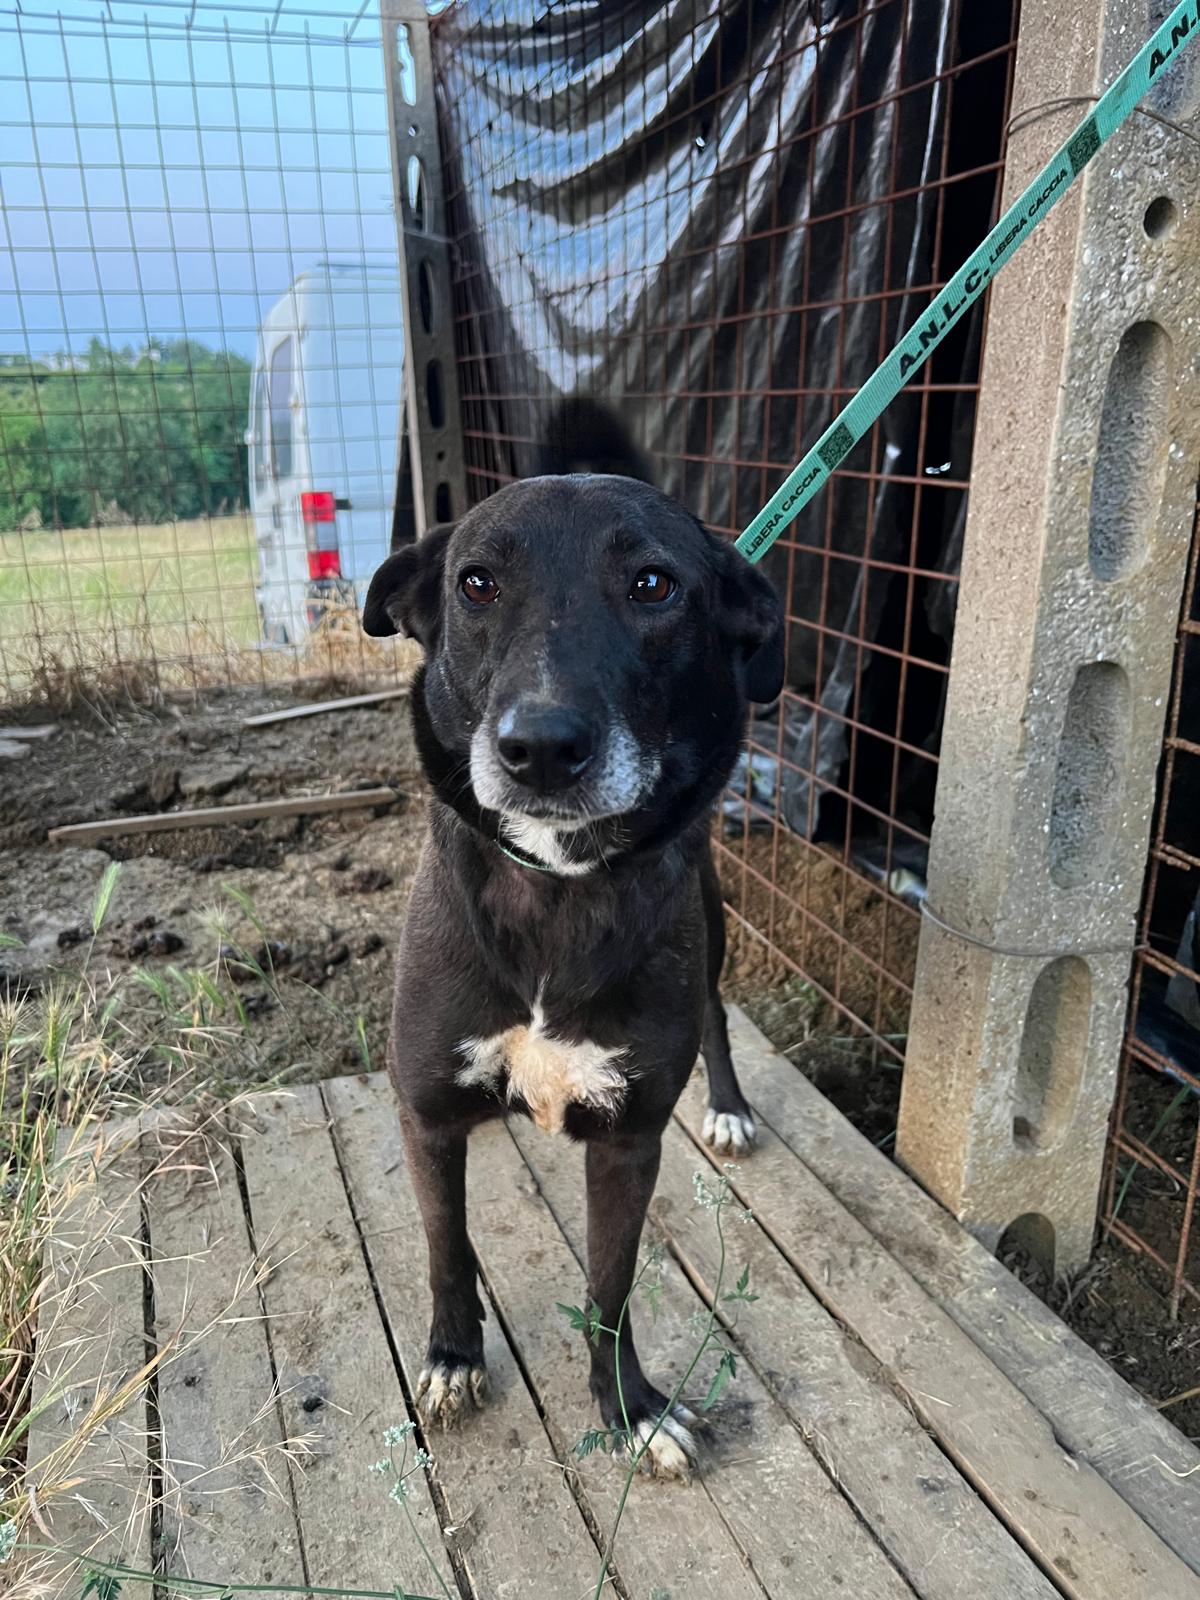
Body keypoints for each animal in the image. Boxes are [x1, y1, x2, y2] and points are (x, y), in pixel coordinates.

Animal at [362, 404, 783, 1480]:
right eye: (476, 583)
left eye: (653, 585)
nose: (543, 747)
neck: (557, 887)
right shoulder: (427, 1114)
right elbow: (445, 1251)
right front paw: (454, 1357)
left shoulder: (629, 1140)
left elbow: (611, 1285)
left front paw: (631, 1407)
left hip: (711, 930)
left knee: (717, 1014)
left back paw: (728, 1109)